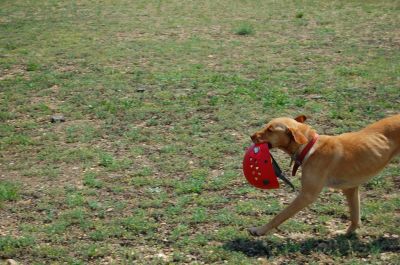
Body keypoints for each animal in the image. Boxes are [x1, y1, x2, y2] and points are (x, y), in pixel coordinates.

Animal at [248, 113, 398, 235]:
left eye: (270, 130)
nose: (251, 136)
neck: (309, 146)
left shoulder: (307, 195)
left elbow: (279, 216)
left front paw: (260, 230)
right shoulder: (350, 189)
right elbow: (355, 217)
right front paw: (346, 233)